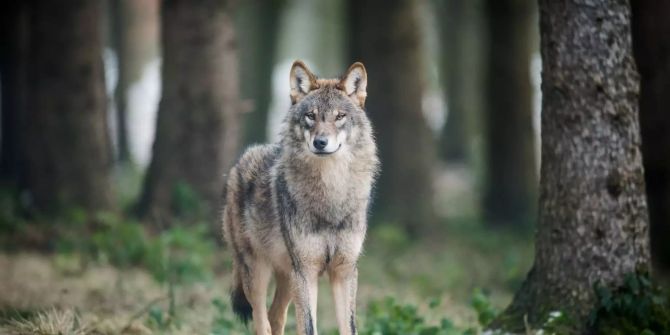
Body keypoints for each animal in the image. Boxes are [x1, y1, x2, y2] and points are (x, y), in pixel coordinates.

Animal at [223, 61, 380, 335]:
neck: (331, 194)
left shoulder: (344, 272)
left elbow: (349, 328)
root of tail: (238, 163)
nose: (320, 142)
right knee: (261, 321)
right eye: (311, 116)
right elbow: (308, 327)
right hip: (258, 273)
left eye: (339, 116)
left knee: (276, 317)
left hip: (288, 277)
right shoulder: (306, 272)